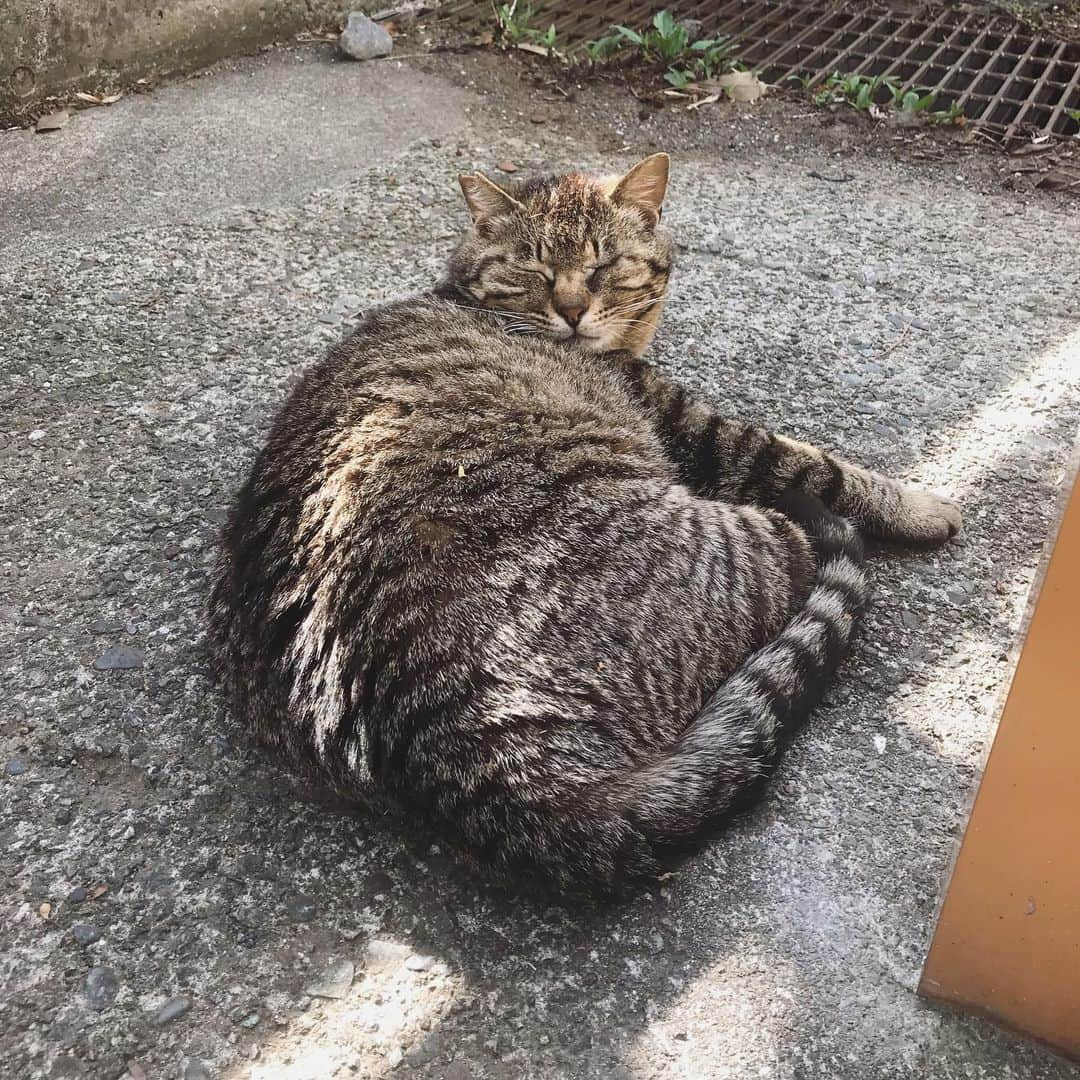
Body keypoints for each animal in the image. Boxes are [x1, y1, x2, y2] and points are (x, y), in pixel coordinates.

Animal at [210, 152, 963, 894]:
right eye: (536, 271)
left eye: (603, 267)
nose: (572, 312)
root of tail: (480, 767)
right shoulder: (704, 433)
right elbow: (817, 464)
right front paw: (924, 503)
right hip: (748, 535)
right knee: (809, 544)